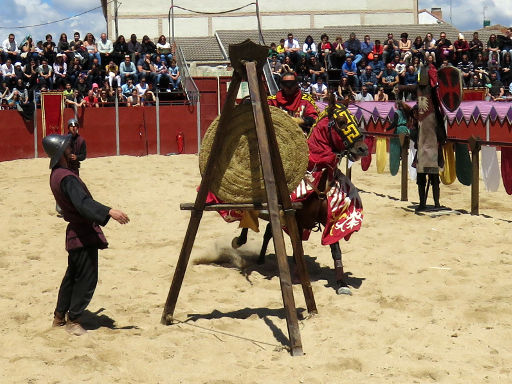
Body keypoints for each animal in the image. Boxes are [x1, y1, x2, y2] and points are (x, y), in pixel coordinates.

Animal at [232, 97, 368, 294]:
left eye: (356, 121)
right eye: (342, 122)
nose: (363, 149)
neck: (318, 179)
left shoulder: (328, 219)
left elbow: (335, 250)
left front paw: (342, 283)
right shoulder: (294, 220)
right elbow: (298, 251)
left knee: (268, 232)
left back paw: (261, 258)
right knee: (251, 219)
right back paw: (241, 241)